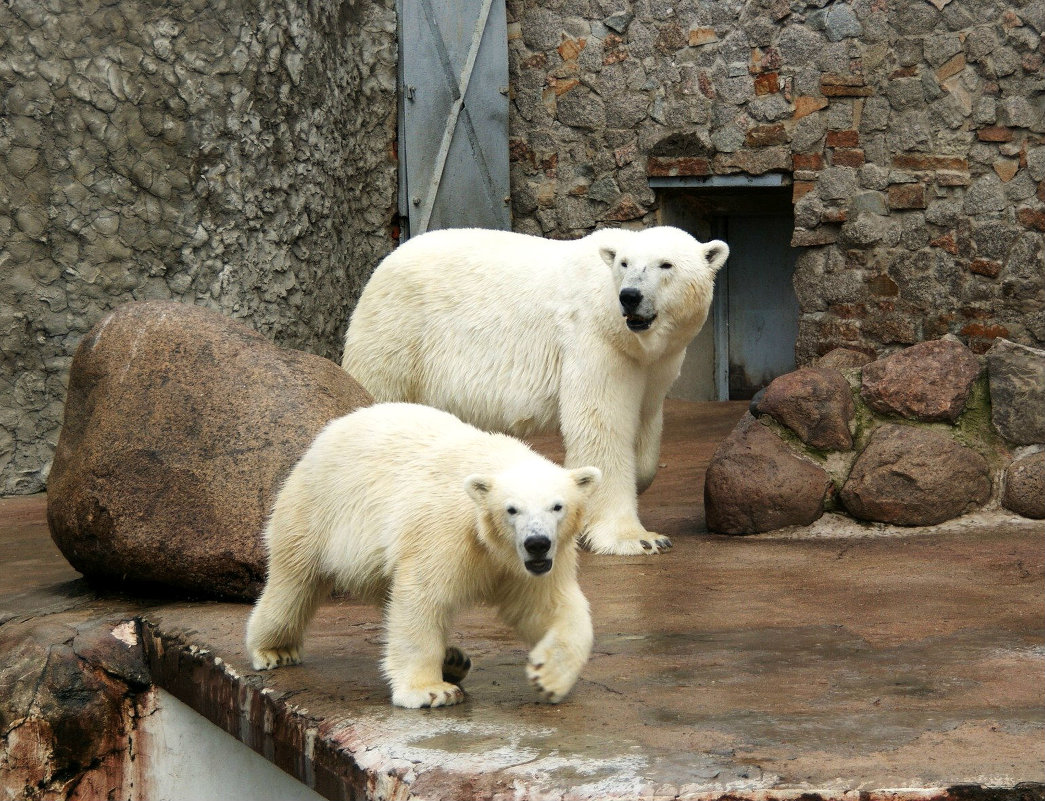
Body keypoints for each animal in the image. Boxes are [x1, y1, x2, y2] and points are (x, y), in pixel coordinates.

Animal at [342, 225, 727, 559]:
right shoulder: (595, 340)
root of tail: (384, 264)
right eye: (624, 264)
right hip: (399, 332)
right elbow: (601, 425)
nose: (630, 297)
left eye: (666, 264)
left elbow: (646, 424)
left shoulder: (657, 363)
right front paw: (637, 539)